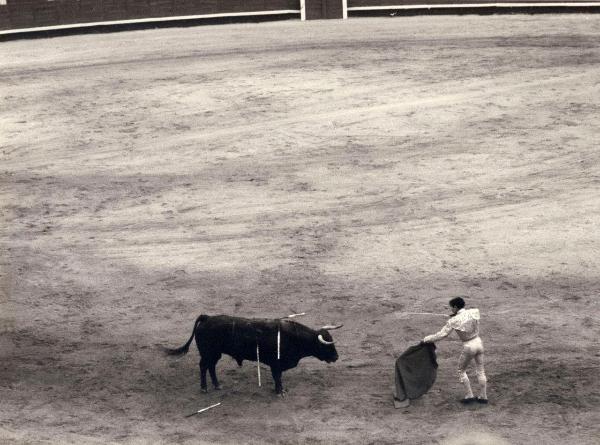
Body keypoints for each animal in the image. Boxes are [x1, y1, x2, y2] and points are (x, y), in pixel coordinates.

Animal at [164, 314, 342, 394]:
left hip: (215, 354)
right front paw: (280, 391)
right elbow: (278, 377)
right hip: (209, 353)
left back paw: (217, 385)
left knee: (211, 367)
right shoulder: (276, 364)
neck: (294, 338)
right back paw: (204, 388)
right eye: (326, 346)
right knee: (203, 366)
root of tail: (206, 318)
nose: (336, 357)